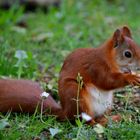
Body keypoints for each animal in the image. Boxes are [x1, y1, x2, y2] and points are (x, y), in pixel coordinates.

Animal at [0, 25, 140, 125]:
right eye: (127, 54)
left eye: (138, 47)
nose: (139, 65)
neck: (109, 58)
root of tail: (65, 112)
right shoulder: (96, 67)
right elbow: (106, 81)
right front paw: (131, 77)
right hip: (76, 95)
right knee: (84, 121)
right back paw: (98, 122)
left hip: (106, 104)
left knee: (99, 118)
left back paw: (114, 118)